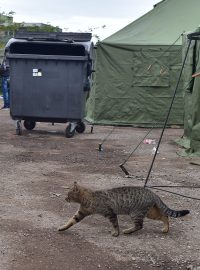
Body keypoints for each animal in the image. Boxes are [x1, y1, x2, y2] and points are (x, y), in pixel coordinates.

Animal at [58, 181, 189, 236]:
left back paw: (128, 231)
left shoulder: (110, 213)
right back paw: (166, 229)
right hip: (150, 213)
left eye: (68, 195)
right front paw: (62, 228)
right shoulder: (81, 213)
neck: (89, 197)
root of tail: (152, 192)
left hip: (136, 213)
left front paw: (116, 233)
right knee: (164, 216)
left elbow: (115, 224)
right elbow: (71, 221)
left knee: (140, 225)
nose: (65, 198)